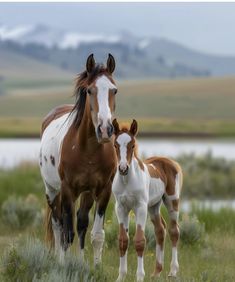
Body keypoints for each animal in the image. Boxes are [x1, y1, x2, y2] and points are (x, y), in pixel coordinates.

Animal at [111, 119, 182, 282]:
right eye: (115, 145)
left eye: (132, 145)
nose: (123, 168)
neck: (127, 181)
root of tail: (170, 161)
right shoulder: (121, 208)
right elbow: (123, 240)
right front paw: (121, 276)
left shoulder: (140, 207)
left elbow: (139, 241)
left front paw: (139, 276)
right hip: (154, 206)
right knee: (160, 230)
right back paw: (157, 272)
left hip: (172, 201)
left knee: (174, 231)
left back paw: (173, 271)